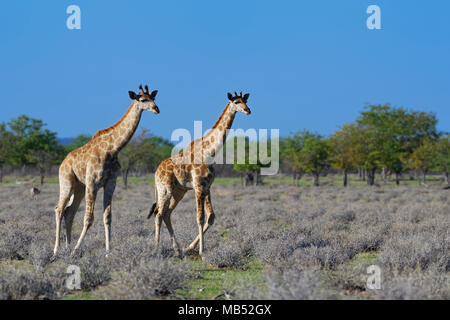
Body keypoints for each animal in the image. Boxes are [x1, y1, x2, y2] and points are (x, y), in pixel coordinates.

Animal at [52, 85, 160, 258]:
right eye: (143, 99)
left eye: (154, 98)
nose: (157, 109)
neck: (113, 148)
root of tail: (63, 162)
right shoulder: (93, 183)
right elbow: (89, 218)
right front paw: (76, 249)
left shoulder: (110, 183)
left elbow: (107, 217)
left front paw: (108, 252)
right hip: (66, 182)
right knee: (59, 209)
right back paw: (56, 250)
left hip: (79, 187)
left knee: (69, 213)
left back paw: (67, 248)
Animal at [149, 91, 251, 256]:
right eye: (236, 102)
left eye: (246, 101)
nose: (248, 110)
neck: (210, 151)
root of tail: (155, 173)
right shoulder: (198, 186)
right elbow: (200, 217)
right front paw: (201, 252)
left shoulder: (207, 187)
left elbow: (211, 217)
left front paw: (190, 247)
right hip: (165, 189)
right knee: (158, 214)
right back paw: (156, 249)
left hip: (179, 191)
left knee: (166, 213)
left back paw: (177, 250)